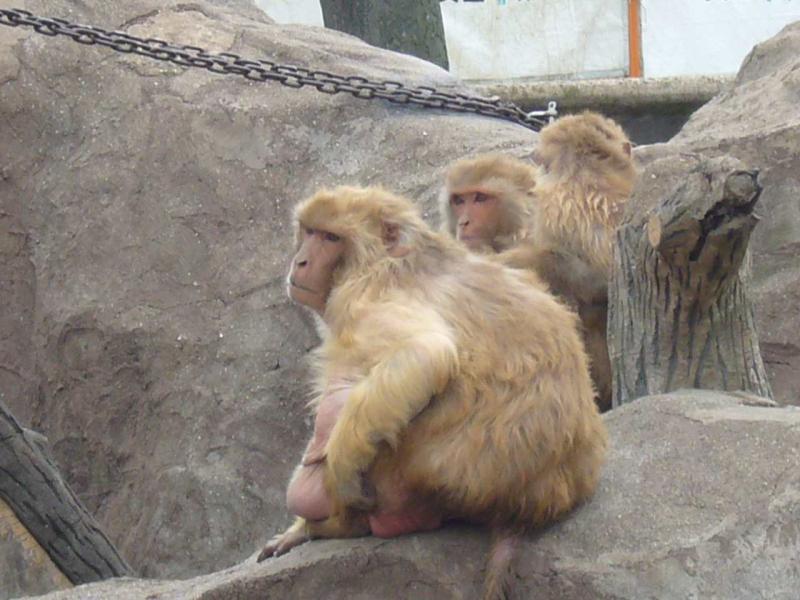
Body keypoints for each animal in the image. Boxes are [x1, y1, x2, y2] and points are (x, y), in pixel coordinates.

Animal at [257, 185, 607, 600]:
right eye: (309, 231)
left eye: (330, 238)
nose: (302, 260)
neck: (384, 259)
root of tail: (529, 505)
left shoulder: (363, 297)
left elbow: (427, 353)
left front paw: (341, 471)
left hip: (408, 478)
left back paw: (337, 524)